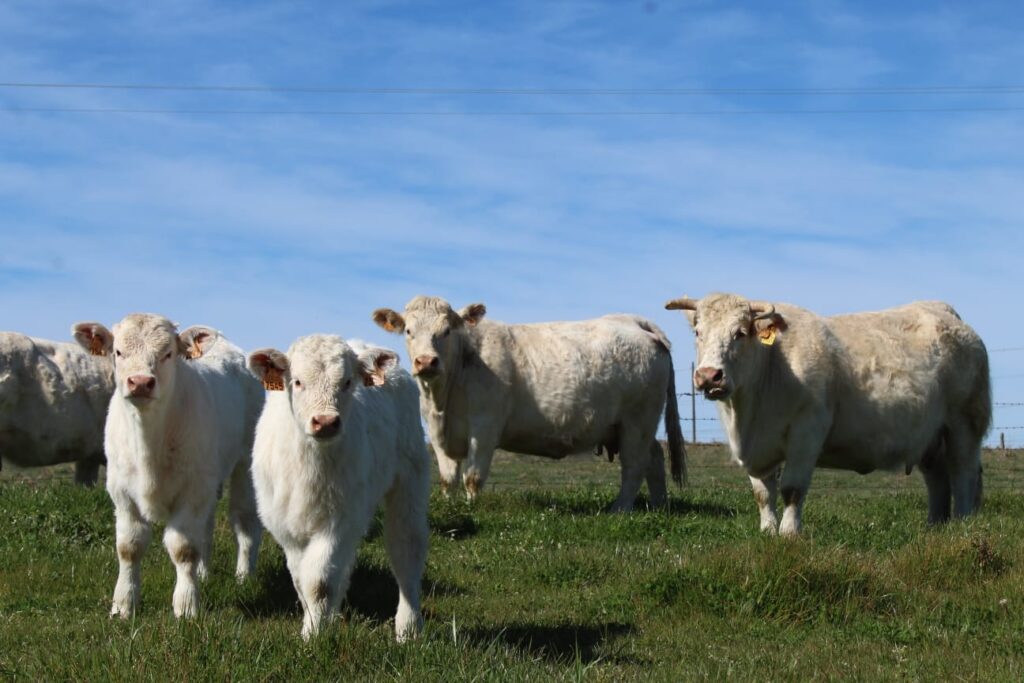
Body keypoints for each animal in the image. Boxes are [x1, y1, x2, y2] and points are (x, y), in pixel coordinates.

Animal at [73, 315, 264, 618]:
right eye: (118, 352)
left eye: (167, 354)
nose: (140, 382)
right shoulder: (121, 492)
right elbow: (128, 547)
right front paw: (123, 604)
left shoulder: (192, 491)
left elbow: (183, 547)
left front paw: (186, 605)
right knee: (206, 526)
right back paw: (204, 573)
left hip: (243, 464)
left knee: (244, 522)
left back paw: (244, 575)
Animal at [249, 335, 430, 643]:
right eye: (297, 381)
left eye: (347, 382)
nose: (325, 422)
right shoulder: (284, 524)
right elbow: (301, 579)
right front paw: (314, 625)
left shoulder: (339, 520)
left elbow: (319, 582)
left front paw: (313, 634)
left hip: (410, 479)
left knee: (406, 550)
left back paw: (408, 628)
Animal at [372, 296, 684, 509]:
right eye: (409, 331)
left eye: (446, 331)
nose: (426, 361)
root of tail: (634, 321)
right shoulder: (438, 434)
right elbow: (448, 479)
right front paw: (451, 508)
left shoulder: (484, 428)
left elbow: (473, 476)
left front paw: (473, 509)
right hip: (633, 425)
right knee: (654, 458)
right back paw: (659, 506)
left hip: (638, 419)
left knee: (635, 465)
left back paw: (619, 509)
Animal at [667, 290, 987, 536]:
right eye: (698, 333)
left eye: (740, 333)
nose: (709, 376)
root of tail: (943, 311)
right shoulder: (757, 448)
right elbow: (762, 492)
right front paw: (767, 531)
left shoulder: (807, 431)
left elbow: (792, 488)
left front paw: (789, 533)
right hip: (929, 438)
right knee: (938, 479)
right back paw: (935, 526)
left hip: (963, 425)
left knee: (964, 473)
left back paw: (961, 524)